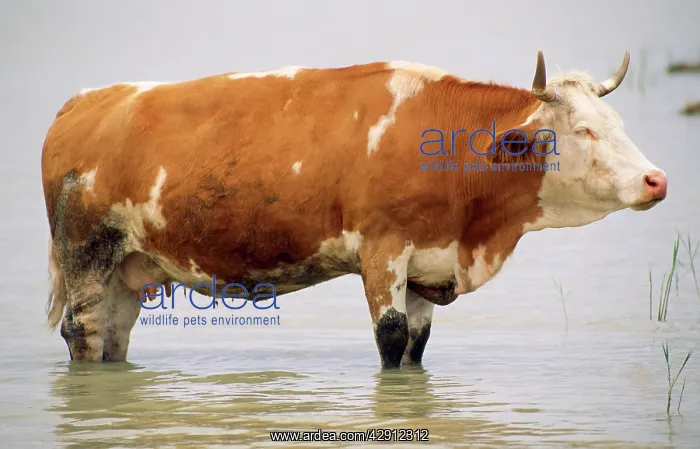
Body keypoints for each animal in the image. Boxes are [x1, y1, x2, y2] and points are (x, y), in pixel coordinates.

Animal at [41, 50, 667, 368]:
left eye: (617, 124)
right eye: (583, 131)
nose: (655, 180)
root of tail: (86, 102)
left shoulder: (428, 261)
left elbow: (416, 343)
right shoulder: (382, 250)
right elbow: (390, 337)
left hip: (128, 268)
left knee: (114, 334)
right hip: (85, 252)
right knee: (81, 330)